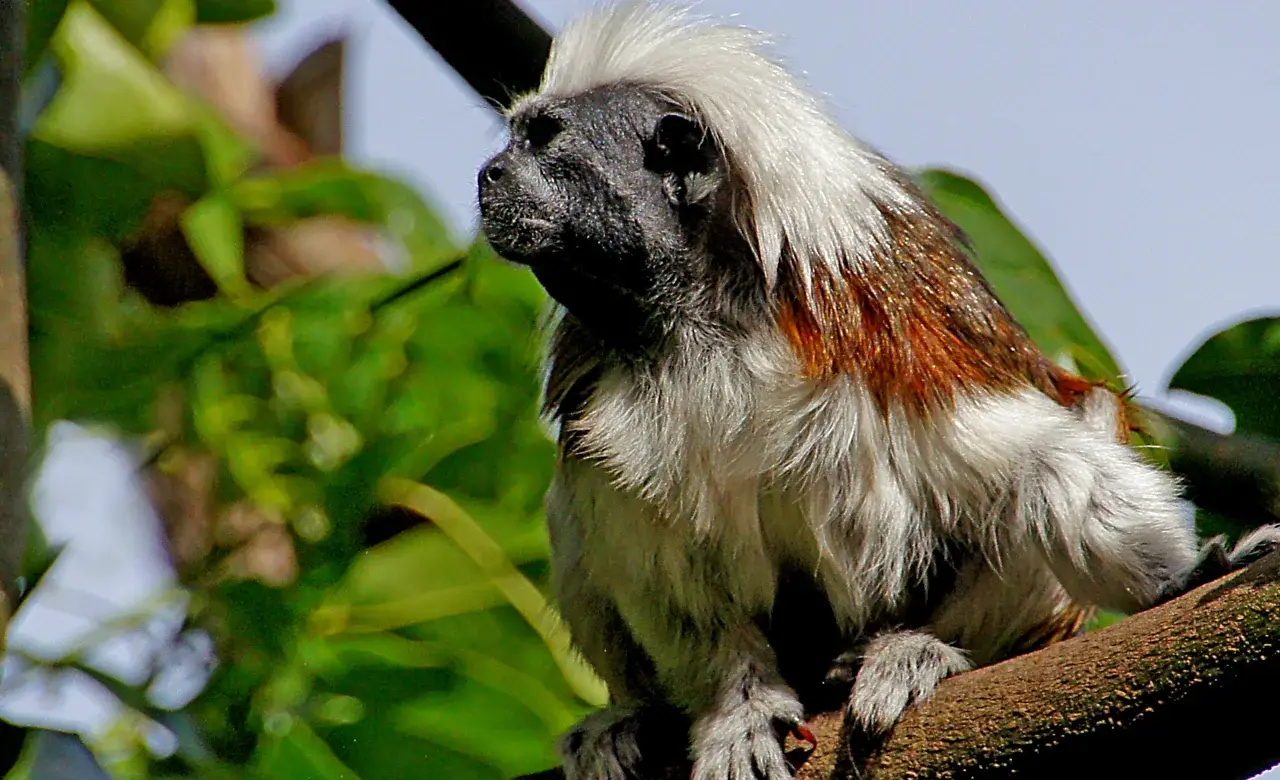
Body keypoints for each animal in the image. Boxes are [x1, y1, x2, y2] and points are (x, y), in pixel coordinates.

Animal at [476, 3, 1280, 778]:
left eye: (544, 138)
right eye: (514, 142)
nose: (488, 175)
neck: (707, 321)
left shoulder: (881, 336)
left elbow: (1039, 460)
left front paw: (1183, 577)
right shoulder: (611, 408)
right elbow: (673, 570)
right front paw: (736, 709)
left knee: (1084, 415)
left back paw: (901, 652)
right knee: (576, 504)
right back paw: (632, 720)